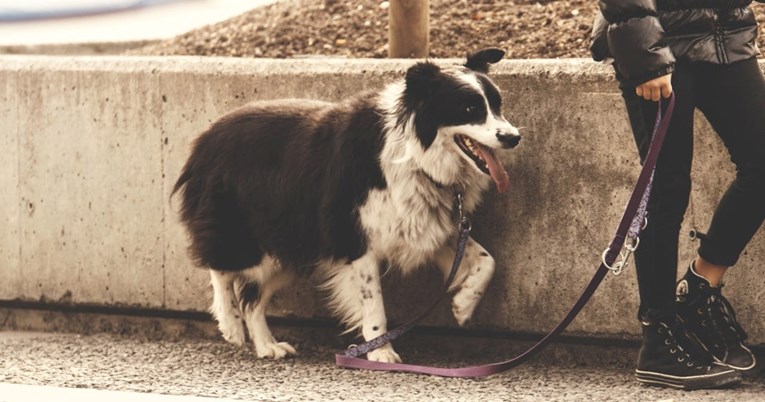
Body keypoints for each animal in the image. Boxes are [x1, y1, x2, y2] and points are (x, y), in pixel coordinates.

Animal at [172, 48, 520, 362]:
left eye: (498, 105)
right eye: (469, 108)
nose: (513, 137)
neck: (416, 155)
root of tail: (204, 139)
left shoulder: (426, 224)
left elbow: (487, 260)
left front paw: (463, 306)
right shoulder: (355, 237)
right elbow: (373, 302)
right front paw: (381, 353)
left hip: (291, 243)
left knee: (252, 299)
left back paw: (267, 346)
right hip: (246, 229)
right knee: (220, 267)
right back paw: (230, 325)